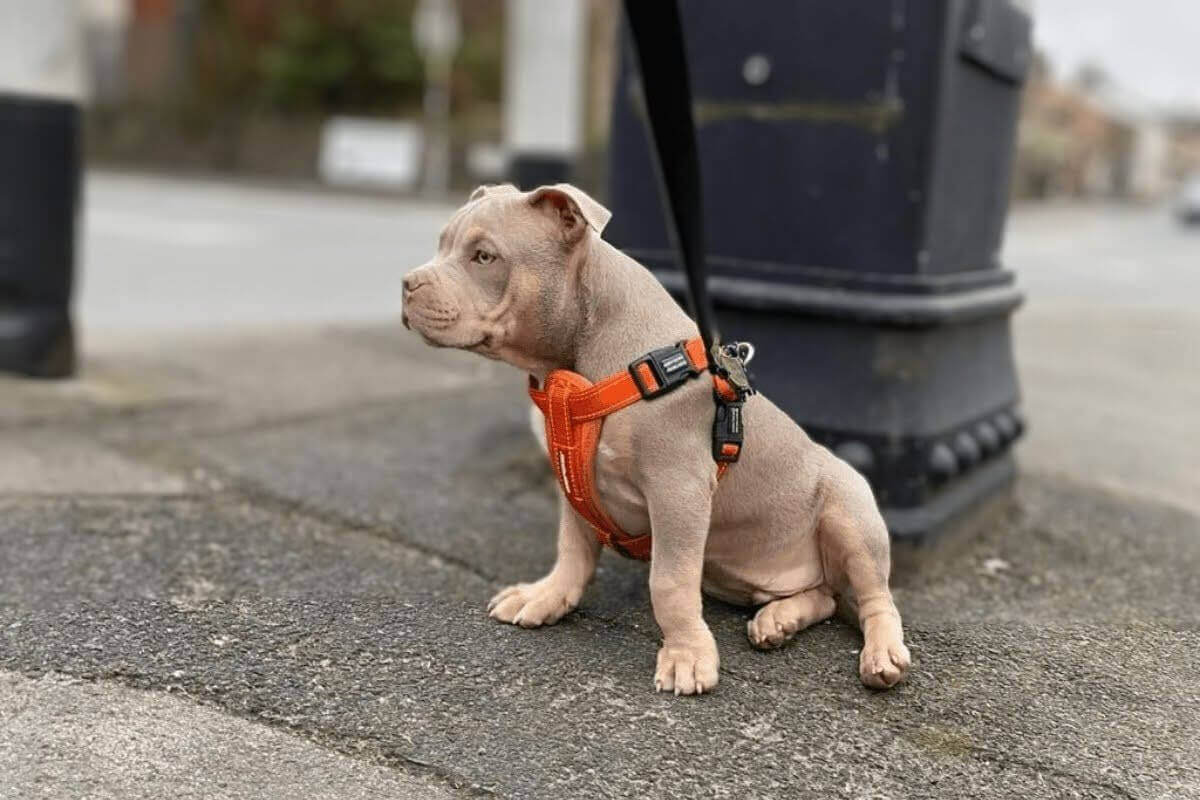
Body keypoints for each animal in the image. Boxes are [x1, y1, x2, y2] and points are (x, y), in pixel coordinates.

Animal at [403, 183, 907, 695]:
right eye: (442, 244)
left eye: (484, 256)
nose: (407, 283)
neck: (578, 361)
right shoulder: (572, 482)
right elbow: (572, 550)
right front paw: (545, 597)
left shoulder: (677, 489)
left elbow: (667, 582)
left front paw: (686, 656)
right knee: (823, 597)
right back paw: (779, 619)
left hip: (851, 515)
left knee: (875, 598)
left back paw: (881, 654)